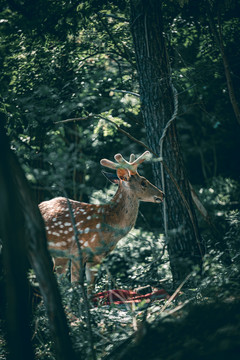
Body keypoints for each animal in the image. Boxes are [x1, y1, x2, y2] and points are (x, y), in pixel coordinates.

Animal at [38, 150, 164, 292]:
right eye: (143, 182)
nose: (162, 194)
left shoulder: (97, 258)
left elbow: (91, 288)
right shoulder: (77, 251)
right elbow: (76, 286)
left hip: (60, 255)